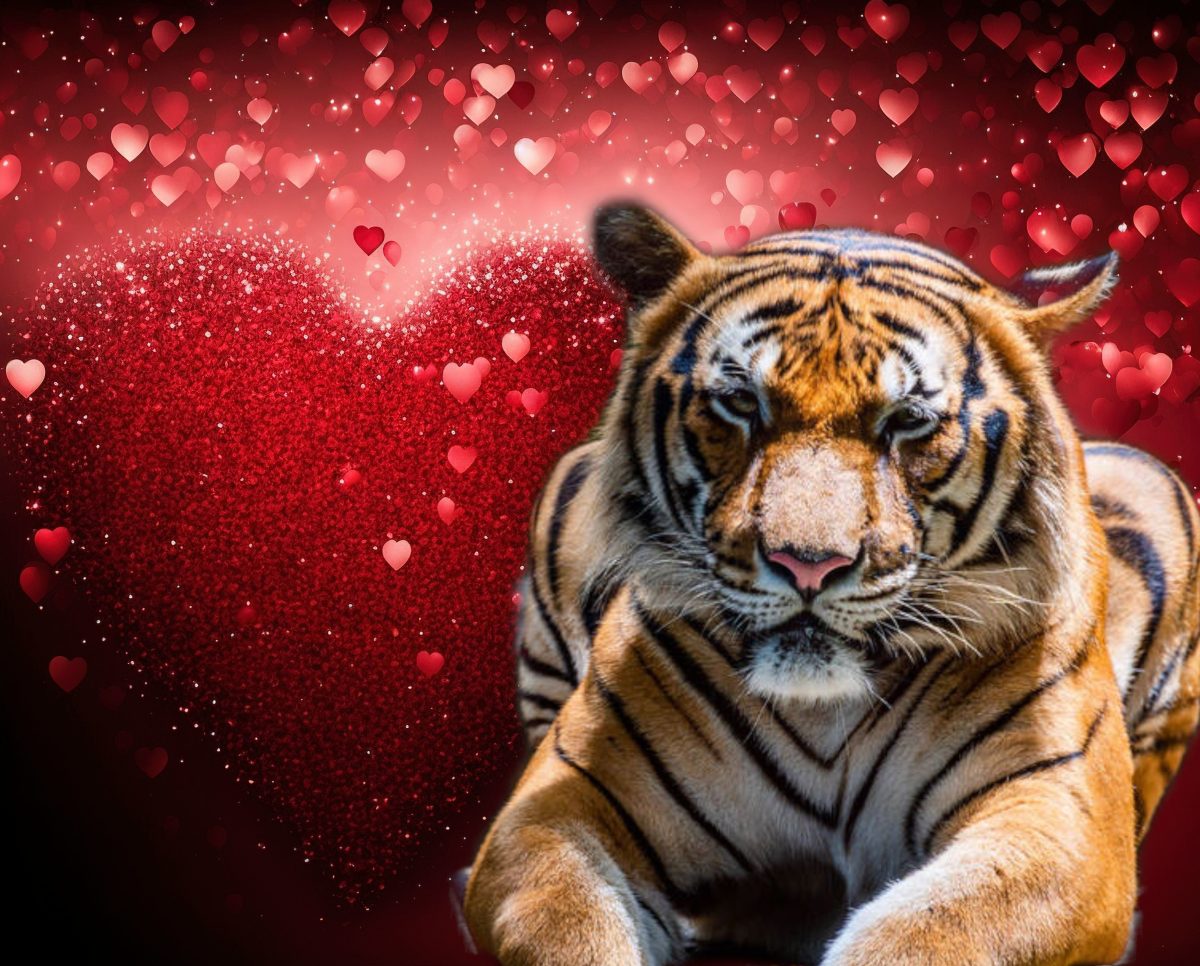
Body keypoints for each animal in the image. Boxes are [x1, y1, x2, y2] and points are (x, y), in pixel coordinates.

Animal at [461, 205, 1200, 965]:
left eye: (907, 421)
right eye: (740, 403)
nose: (808, 564)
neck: (823, 716)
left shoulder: (1056, 818)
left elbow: (929, 932)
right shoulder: (559, 805)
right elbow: (573, 925)